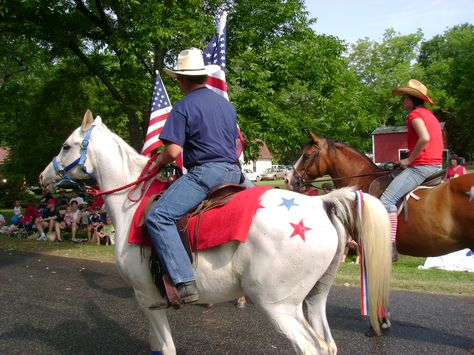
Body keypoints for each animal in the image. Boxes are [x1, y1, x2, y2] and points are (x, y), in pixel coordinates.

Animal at [39, 110, 390, 354]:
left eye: (66, 146)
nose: (43, 177)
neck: (129, 206)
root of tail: (320, 204)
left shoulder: (147, 298)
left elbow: (166, 348)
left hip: (280, 305)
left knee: (310, 347)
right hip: (314, 299)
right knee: (327, 344)